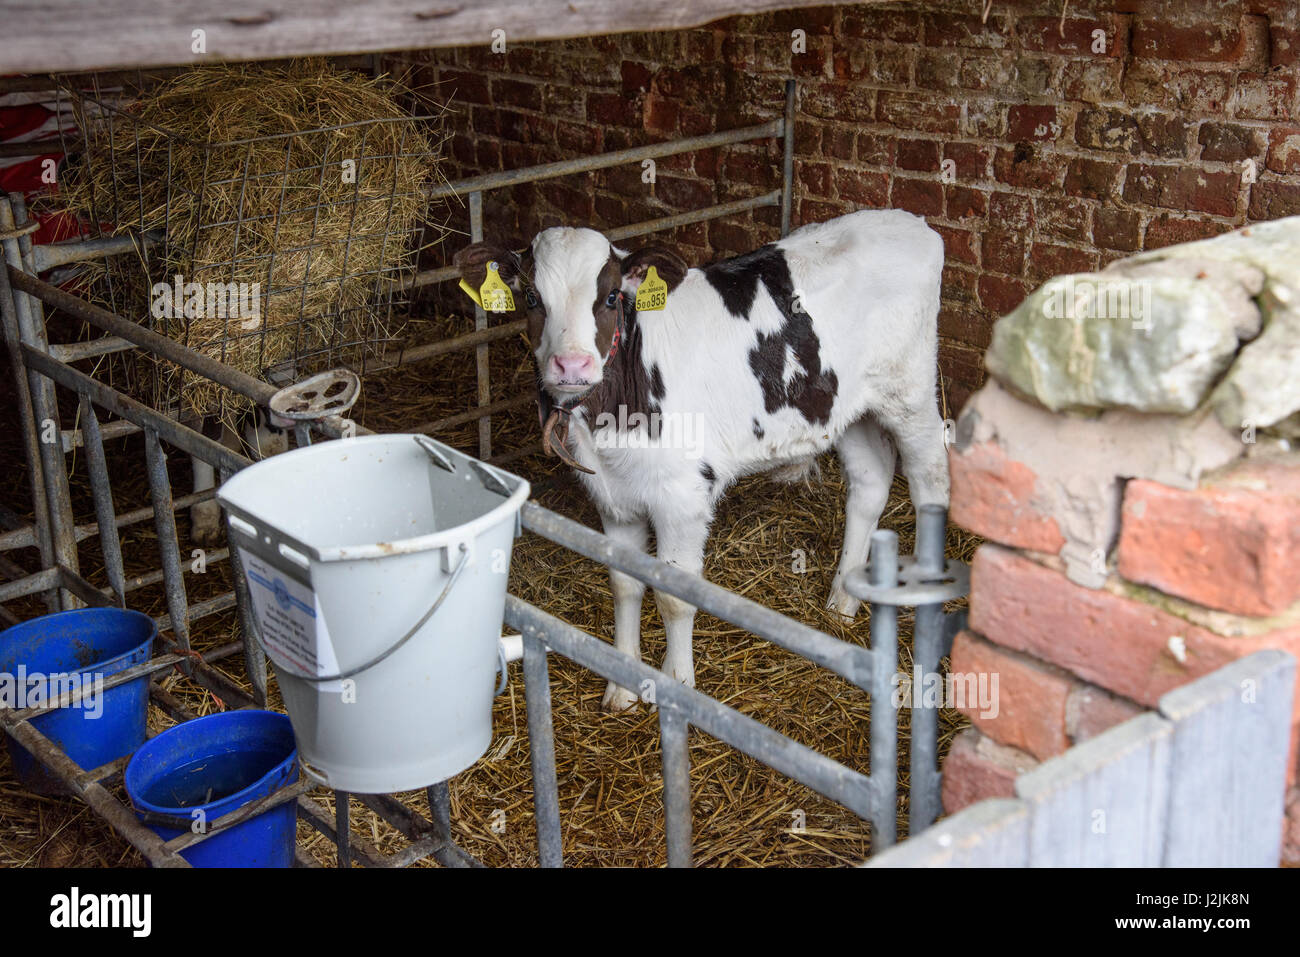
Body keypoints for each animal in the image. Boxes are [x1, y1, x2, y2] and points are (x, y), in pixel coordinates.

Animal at [454, 209, 946, 712]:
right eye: (532, 297)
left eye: (610, 296)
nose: (571, 366)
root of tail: (911, 221)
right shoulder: (615, 499)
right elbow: (624, 583)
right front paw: (622, 687)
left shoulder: (683, 497)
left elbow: (675, 597)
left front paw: (677, 685)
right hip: (846, 407)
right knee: (870, 483)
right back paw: (843, 601)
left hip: (910, 393)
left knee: (931, 480)